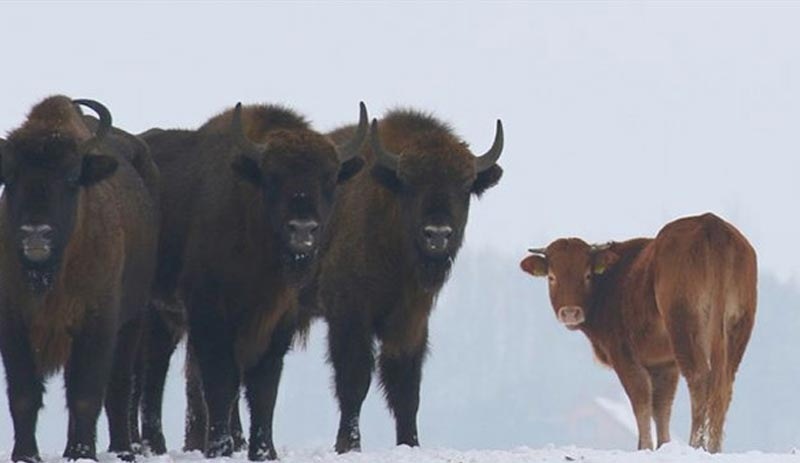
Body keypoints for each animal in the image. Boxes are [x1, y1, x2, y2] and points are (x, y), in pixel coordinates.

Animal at [0, 96, 161, 462]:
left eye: (72, 176)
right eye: (10, 176)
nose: (36, 233)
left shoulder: (97, 320)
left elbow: (87, 394)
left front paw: (83, 453)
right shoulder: (13, 321)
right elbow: (24, 394)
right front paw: (25, 454)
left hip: (133, 321)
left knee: (118, 388)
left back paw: (121, 449)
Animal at [139, 101, 370, 460]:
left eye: (329, 178)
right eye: (273, 177)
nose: (302, 229)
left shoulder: (279, 320)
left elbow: (264, 387)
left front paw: (264, 451)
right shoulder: (210, 314)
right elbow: (221, 382)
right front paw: (220, 448)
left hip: (165, 317)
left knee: (154, 369)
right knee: (148, 372)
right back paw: (149, 445)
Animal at [310, 109, 504, 454]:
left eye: (465, 183)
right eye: (411, 182)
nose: (437, 235)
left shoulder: (411, 320)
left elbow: (406, 388)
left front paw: (410, 444)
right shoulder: (348, 314)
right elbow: (355, 379)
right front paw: (348, 445)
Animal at [520, 213, 756, 454]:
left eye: (587, 275)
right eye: (551, 277)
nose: (570, 312)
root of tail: (711, 224)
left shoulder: (624, 355)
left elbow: (641, 398)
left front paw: (645, 447)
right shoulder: (665, 364)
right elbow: (661, 406)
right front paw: (663, 445)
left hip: (684, 326)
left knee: (699, 378)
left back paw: (696, 445)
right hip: (737, 328)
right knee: (724, 384)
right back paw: (714, 448)